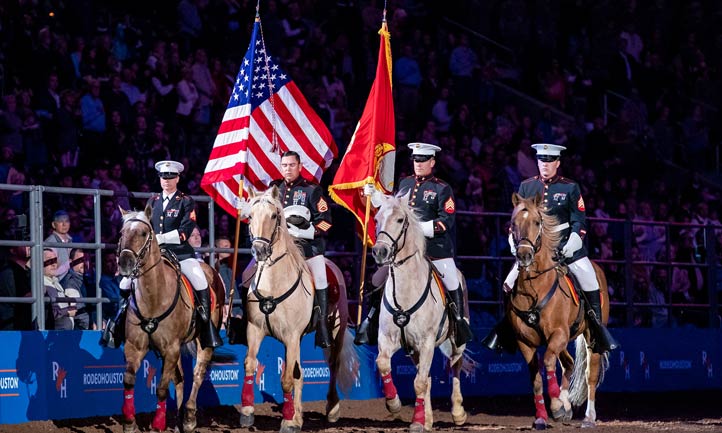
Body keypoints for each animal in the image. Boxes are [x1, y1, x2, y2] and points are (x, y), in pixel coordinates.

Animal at [115, 208, 225, 430]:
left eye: (143, 233)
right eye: (122, 232)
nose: (125, 264)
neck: (153, 296)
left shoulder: (171, 348)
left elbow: (162, 389)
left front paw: (158, 424)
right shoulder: (134, 347)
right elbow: (129, 380)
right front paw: (130, 422)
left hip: (203, 342)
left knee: (198, 374)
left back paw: (189, 418)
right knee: (180, 378)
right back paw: (176, 419)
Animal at [238, 187, 358, 432]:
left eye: (274, 216)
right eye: (250, 216)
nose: (259, 250)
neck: (273, 284)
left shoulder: (291, 336)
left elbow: (286, 379)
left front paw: (287, 420)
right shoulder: (255, 330)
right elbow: (251, 364)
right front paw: (247, 412)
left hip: (336, 332)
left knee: (333, 366)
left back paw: (331, 409)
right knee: (299, 373)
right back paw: (299, 416)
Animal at [506, 193, 608, 428]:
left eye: (537, 222)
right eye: (513, 224)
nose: (524, 255)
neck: (535, 287)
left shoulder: (558, 333)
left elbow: (548, 362)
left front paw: (555, 406)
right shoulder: (526, 342)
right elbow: (535, 378)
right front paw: (543, 416)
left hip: (591, 337)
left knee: (590, 373)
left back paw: (588, 417)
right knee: (568, 363)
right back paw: (566, 404)